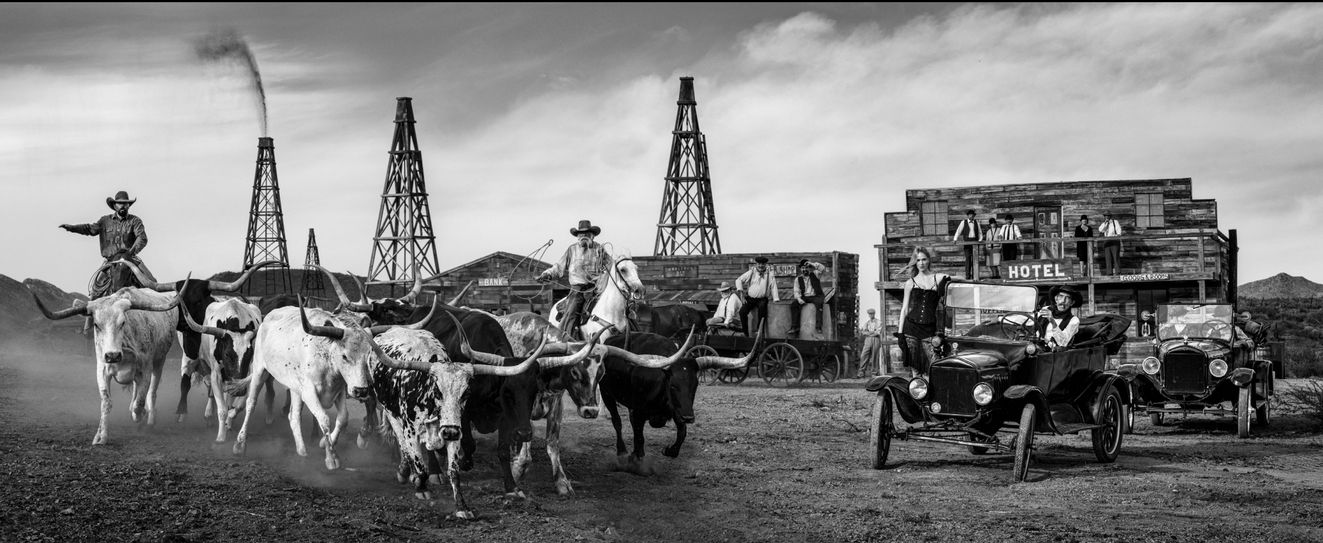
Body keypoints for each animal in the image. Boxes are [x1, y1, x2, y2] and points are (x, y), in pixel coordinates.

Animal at [31, 287, 180, 445]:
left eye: (122, 322)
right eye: (96, 325)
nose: (112, 355)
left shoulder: (145, 370)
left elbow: (140, 402)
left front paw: (140, 415)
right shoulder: (102, 370)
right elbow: (106, 402)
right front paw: (101, 436)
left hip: (159, 361)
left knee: (152, 391)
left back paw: (150, 419)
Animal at [227, 298, 435, 470]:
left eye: (369, 355)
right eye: (344, 356)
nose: (361, 390)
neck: (327, 360)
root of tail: (267, 318)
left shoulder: (340, 390)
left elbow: (343, 418)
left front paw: (325, 444)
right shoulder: (310, 392)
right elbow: (324, 419)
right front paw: (331, 457)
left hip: (294, 387)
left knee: (293, 417)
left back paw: (301, 450)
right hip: (260, 371)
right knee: (251, 403)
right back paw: (239, 443)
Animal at [598, 330, 758, 470]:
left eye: (695, 385)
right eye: (673, 385)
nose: (689, 417)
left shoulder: (678, 409)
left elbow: (682, 433)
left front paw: (668, 450)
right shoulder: (637, 411)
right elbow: (639, 435)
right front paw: (637, 459)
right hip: (606, 393)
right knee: (617, 421)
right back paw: (622, 451)